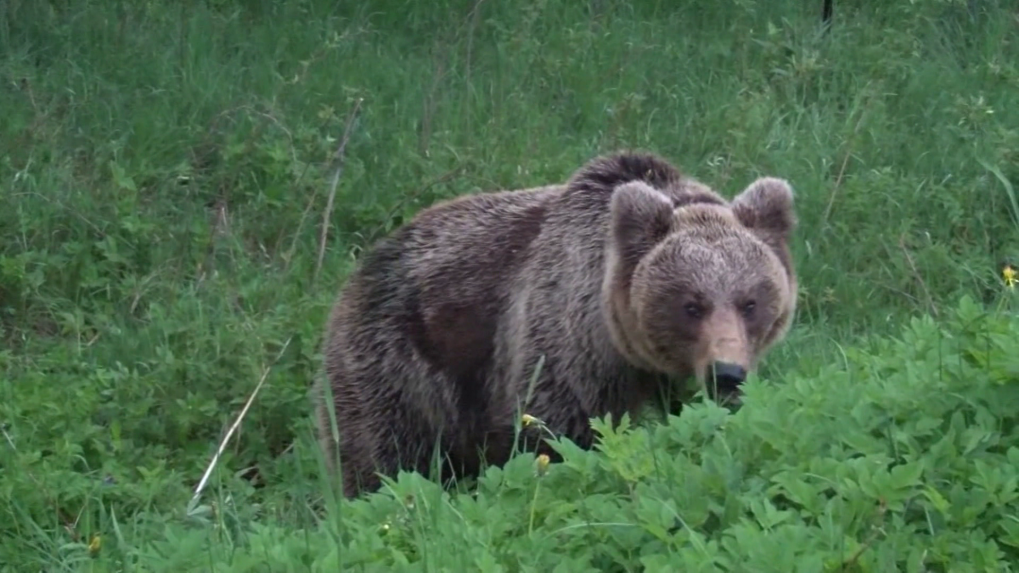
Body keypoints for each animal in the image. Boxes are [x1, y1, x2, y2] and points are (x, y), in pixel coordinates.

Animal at [309, 150, 794, 495]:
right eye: (691, 304)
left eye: (750, 302)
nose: (725, 372)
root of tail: (361, 267)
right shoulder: (564, 346)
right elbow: (557, 435)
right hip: (397, 365)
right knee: (383, 457)